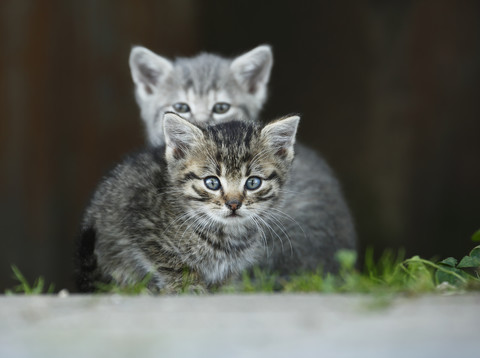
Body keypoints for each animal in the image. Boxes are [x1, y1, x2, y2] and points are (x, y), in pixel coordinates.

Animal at [75, 113, 300, 292]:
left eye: (253, 182)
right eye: (212, 182)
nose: (234, 204)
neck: (225, 234)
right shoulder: (141, 220)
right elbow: (172, 263)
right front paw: (189, 287)